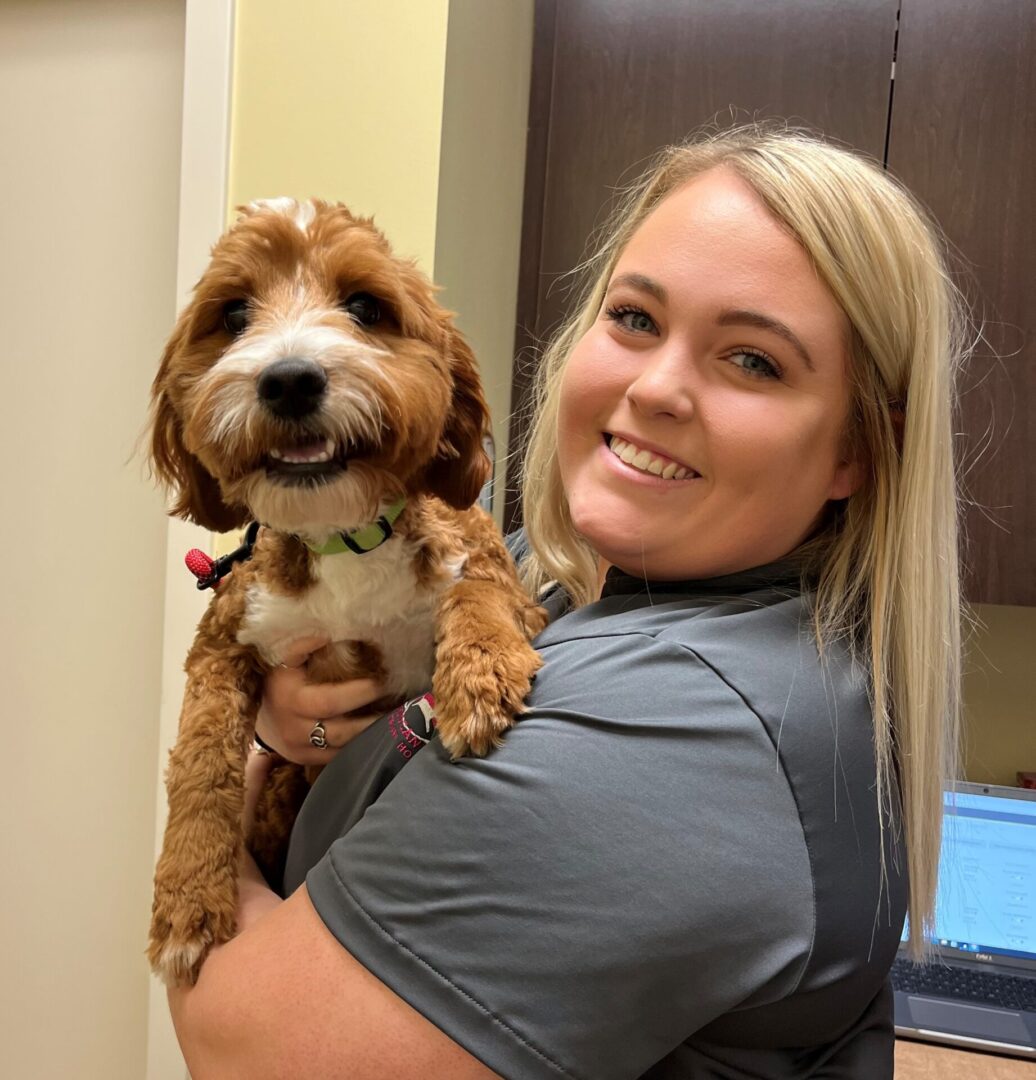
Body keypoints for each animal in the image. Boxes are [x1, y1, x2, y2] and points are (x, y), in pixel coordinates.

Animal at [151, 200, 550, 989]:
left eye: (365, 306)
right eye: (233, 313)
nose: (289, 380)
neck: (344, 534)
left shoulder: (500, 574)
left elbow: (478, 594)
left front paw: (481, 671)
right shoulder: (223, 641)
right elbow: (202, 762)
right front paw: (187, 899)